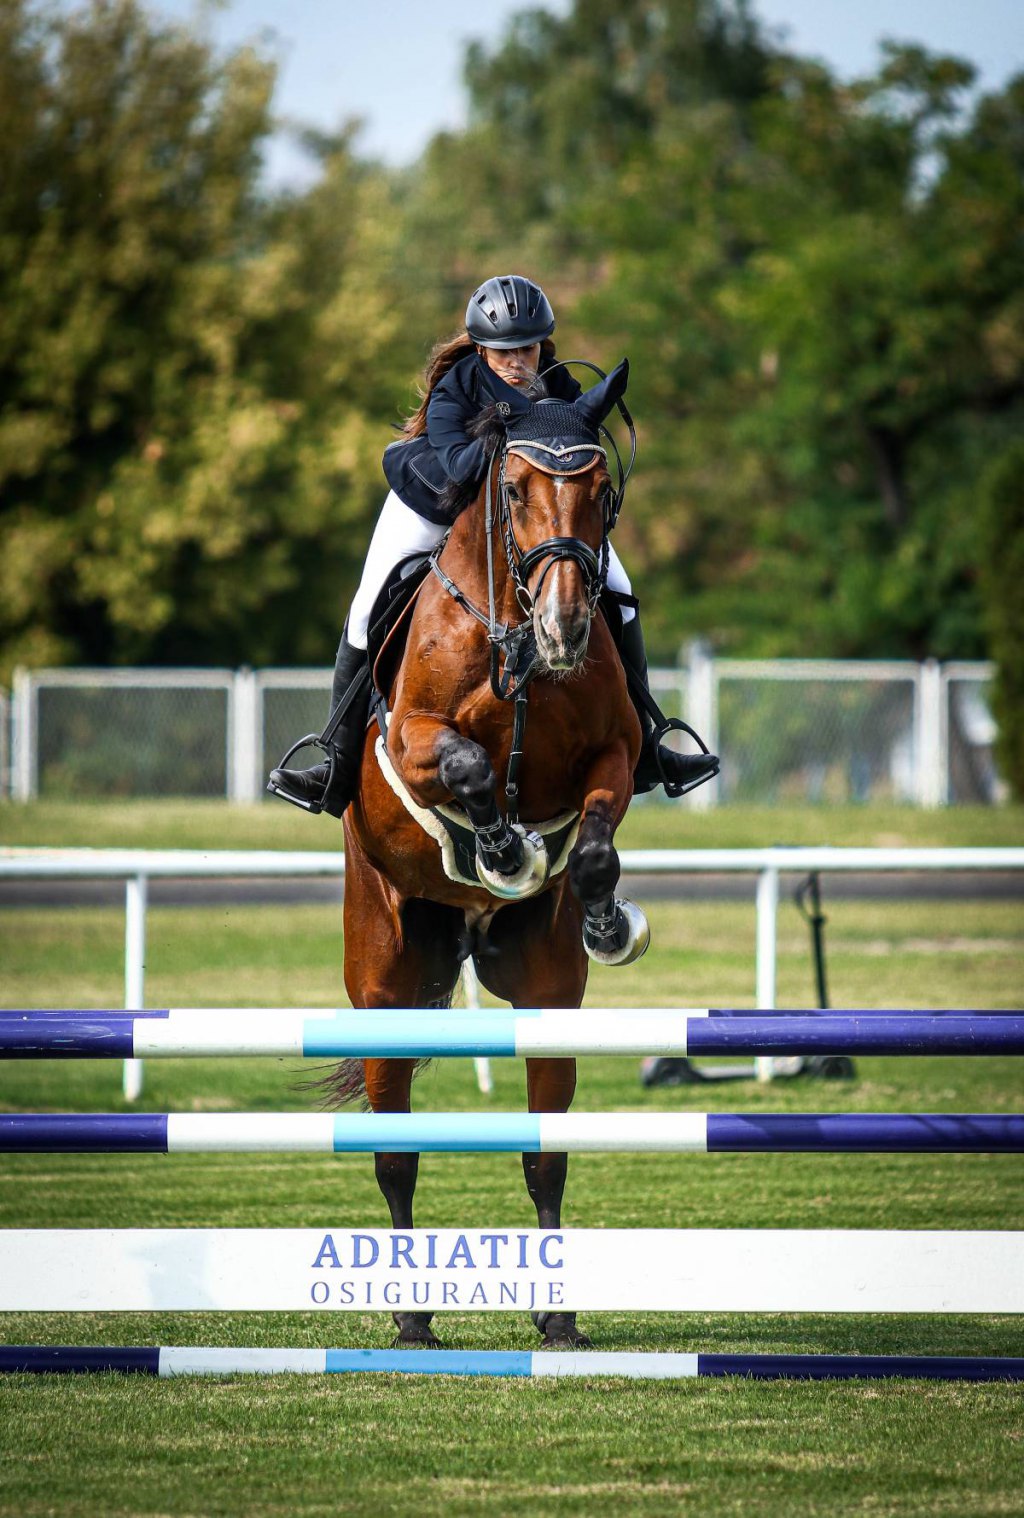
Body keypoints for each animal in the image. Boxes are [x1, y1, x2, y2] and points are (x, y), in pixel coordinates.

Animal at [332, 364, 646, 1354]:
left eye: (602, 493)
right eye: (511, 490)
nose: (565, 627)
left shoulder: (615, 755)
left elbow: (593, 846)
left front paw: (606, 918)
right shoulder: (412, 740)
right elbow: (466, 767)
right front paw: (501, 843)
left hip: (544, 994)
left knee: (545, 1158)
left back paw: (558, 1317)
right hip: (385, 985)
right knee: (395, 1158)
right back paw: (411, 1316)